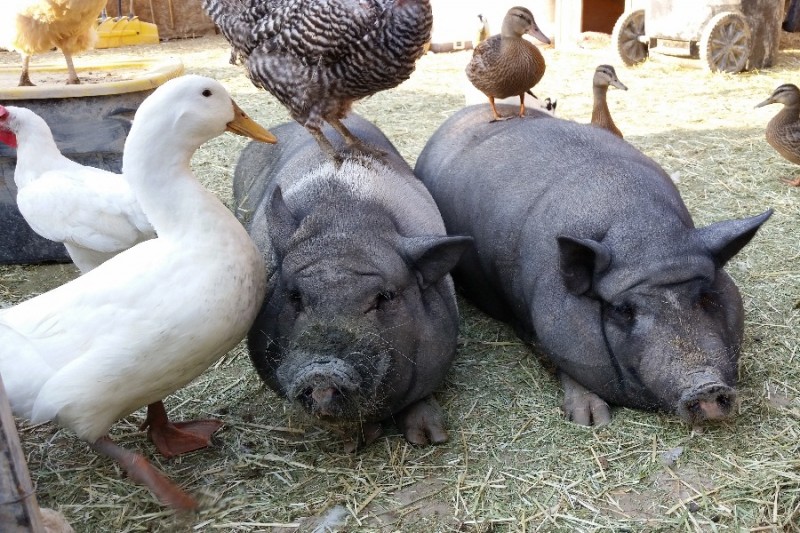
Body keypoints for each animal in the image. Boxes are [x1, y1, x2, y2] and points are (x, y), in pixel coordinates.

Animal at [233, 114, 472, 449]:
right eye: (294, 296)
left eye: (385, 297)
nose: (322, 372)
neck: (344, 221)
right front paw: (356, 442)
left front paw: (428, 439)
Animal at [414, 104, 772, 426]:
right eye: (623, 310)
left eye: (706, 294)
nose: (706, 387)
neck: (641, 230)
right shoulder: (529, 321)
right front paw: (592, 421)